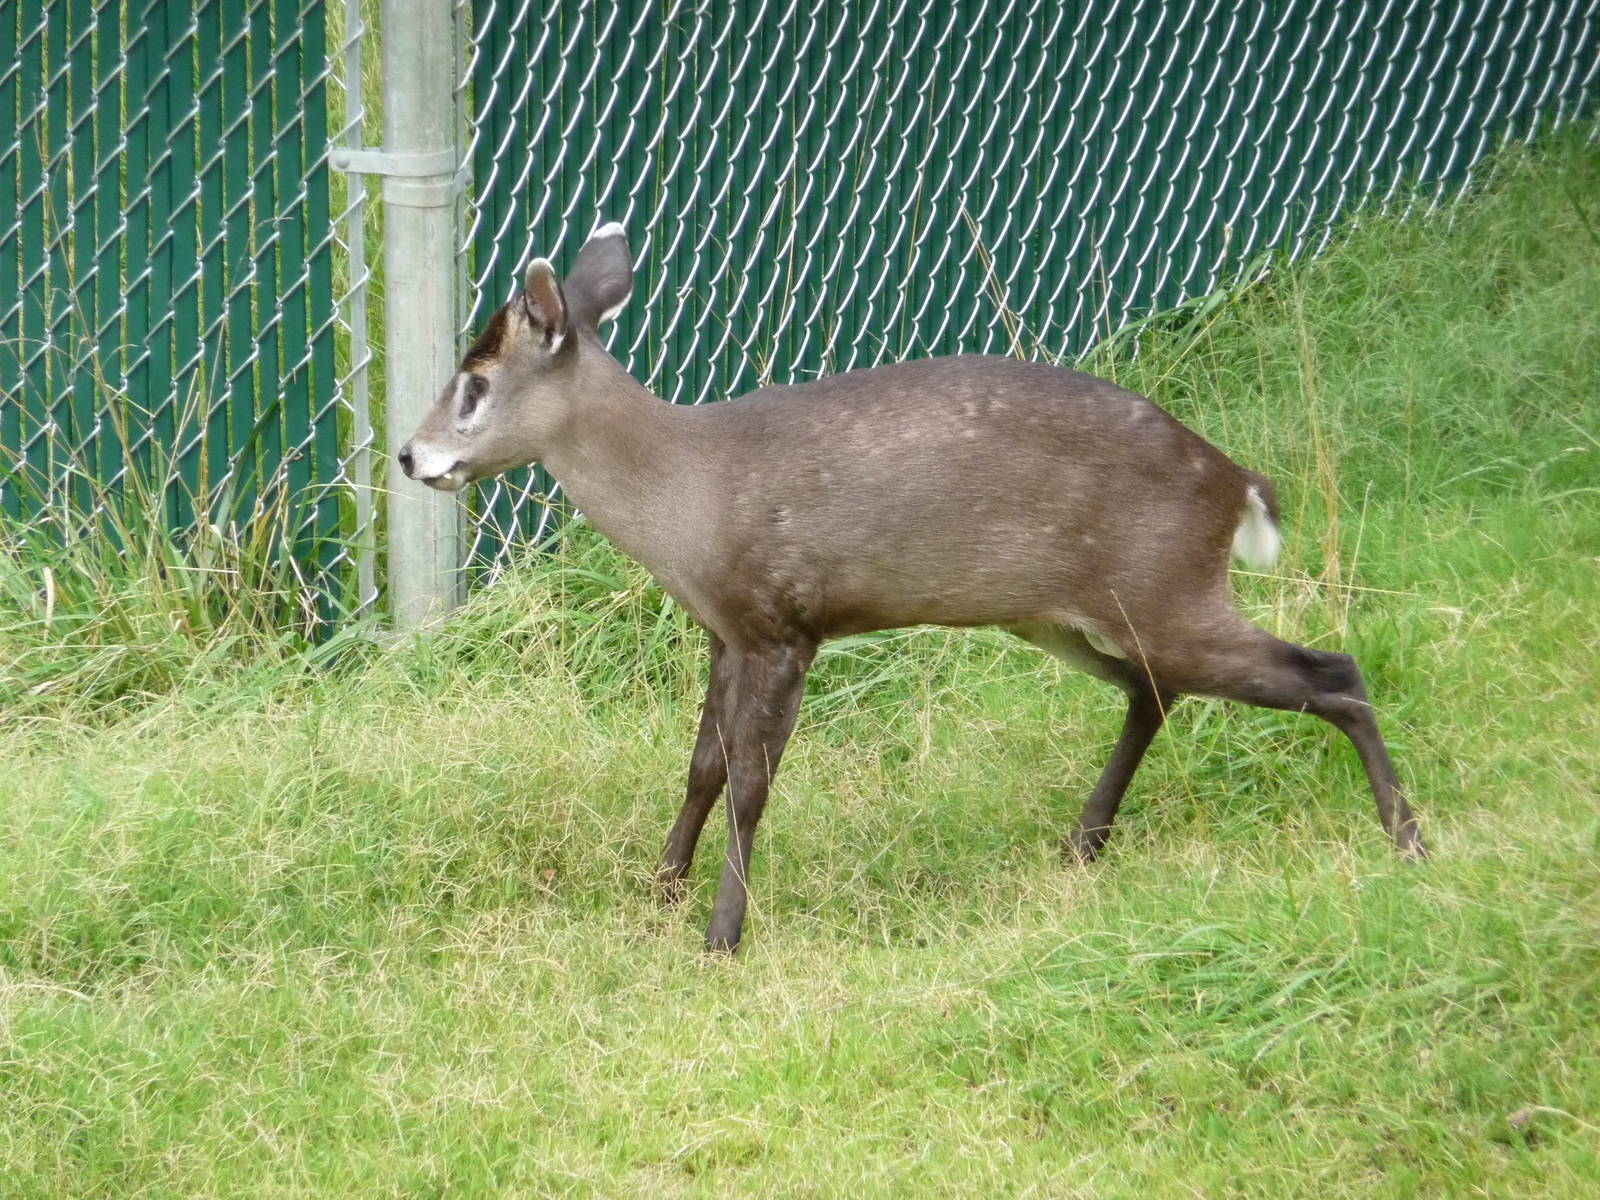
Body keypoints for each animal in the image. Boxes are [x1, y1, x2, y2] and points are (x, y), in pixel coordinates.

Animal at [398, 223, 1425, 954]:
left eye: (475, 381)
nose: (411, 456)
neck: (692, 495)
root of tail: (1237, 482)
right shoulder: (725, 629)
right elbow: (701, 768)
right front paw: (659, 891)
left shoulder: (783, 624)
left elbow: (750, 787)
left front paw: (721, 937)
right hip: (1076, 613)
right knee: (1156, 692)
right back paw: (1082, 843)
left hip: (1164, 587)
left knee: (1331, 669)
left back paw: (1406, 838)